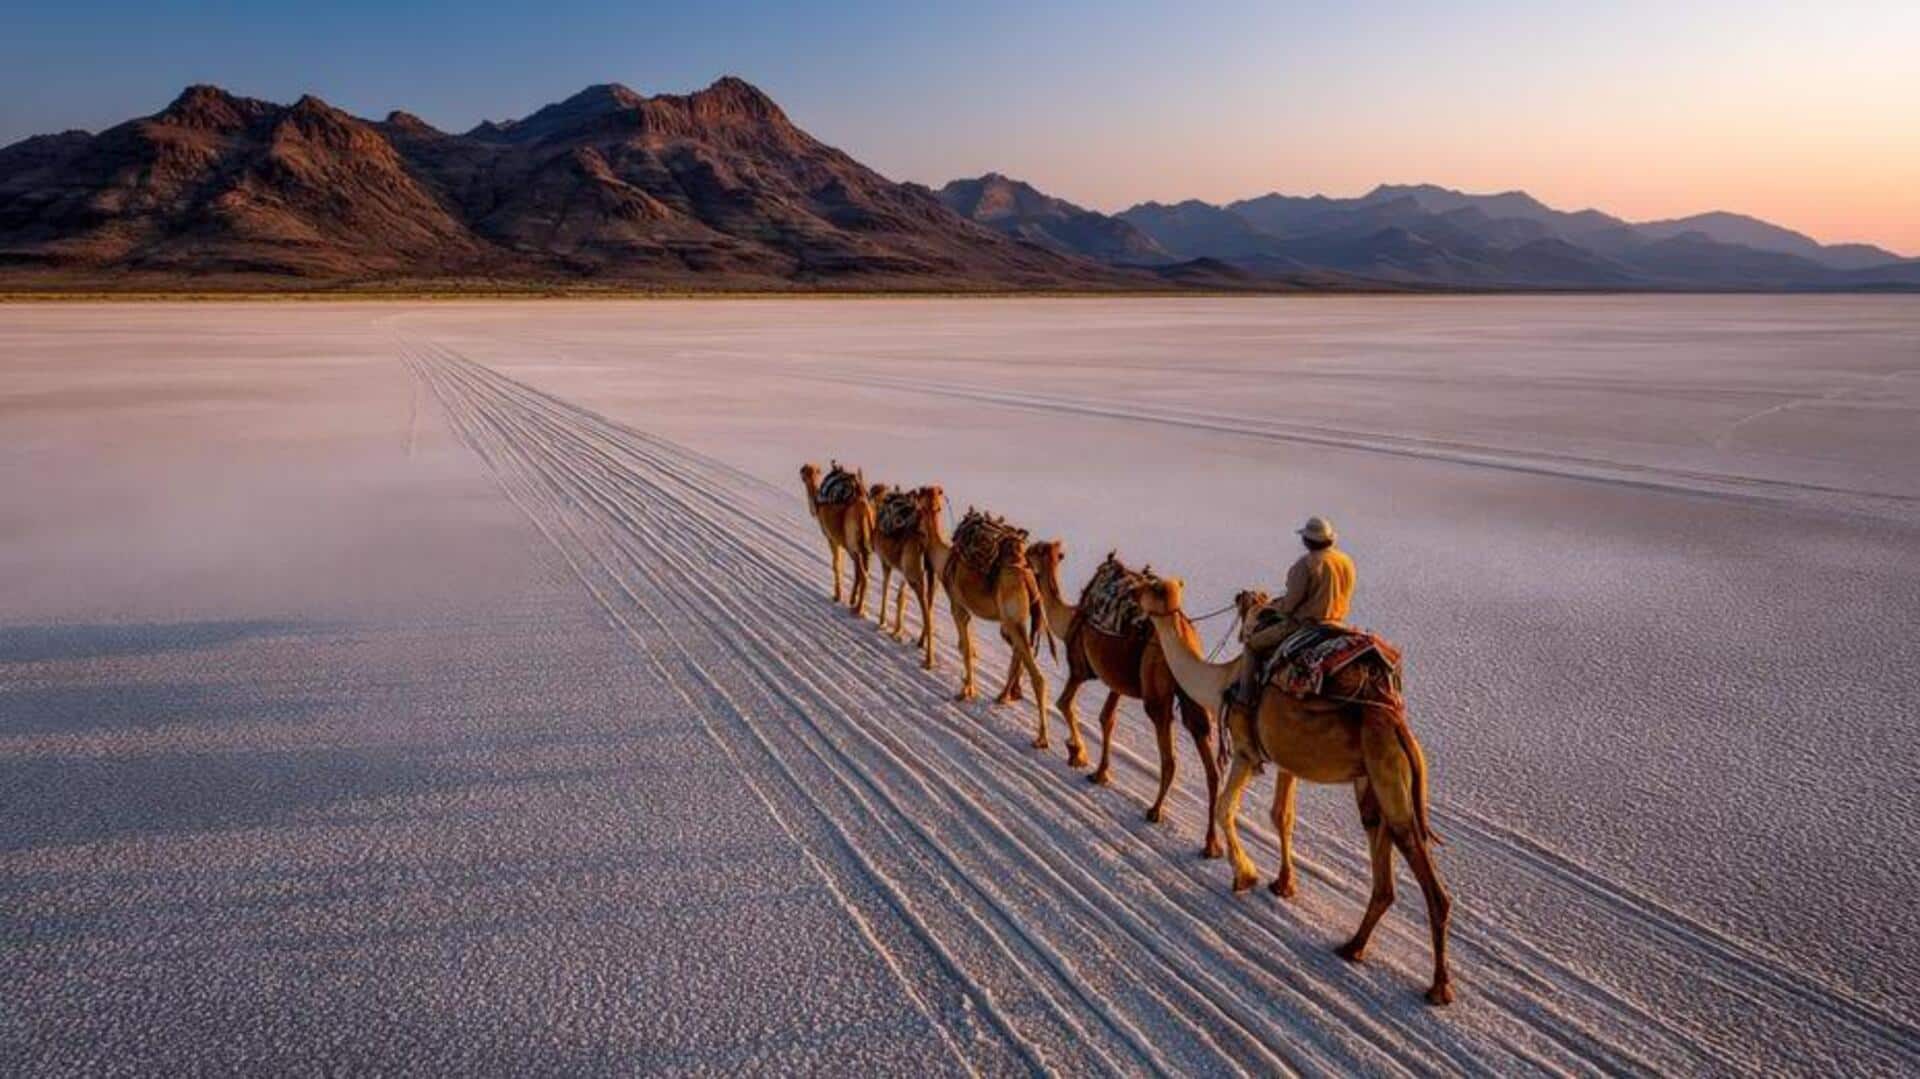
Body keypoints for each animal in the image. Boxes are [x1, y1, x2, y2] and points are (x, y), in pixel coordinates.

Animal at [799, 462, 875, 619]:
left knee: (863, 574)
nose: (801, 474)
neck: (819, 505)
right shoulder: (842, 542)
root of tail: (865, 510)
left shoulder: (832, 539)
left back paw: (858, 610)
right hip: (865, 544)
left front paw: (837, 596)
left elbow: (836, 564)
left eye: (805, 470)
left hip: (853, 543)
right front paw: (846, 598)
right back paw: (857, 605)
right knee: (863, 570)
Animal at [869, 482, 940, 669]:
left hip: (916, 576)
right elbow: (900, 597)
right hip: (930, 578)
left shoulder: (886, 562)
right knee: (929, 606)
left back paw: (929, 660)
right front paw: (896, 631)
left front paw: (882, 622)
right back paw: (921, 643)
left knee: (926, 610)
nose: (868, 496)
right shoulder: (903, 572)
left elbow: (885, 589)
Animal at [919, 501, 1070, 763]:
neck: (944, 557)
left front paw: (966, 690)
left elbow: (965, 647)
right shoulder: (966, 609)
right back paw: (1005, 695)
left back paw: (1041, 738)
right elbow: (966, 645)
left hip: (1012, 618)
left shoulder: (958, 605)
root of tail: (1029, 580)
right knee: (1020, 652)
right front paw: (967, 684)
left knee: (1037, 674)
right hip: (1013, 621)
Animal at [1027, 541, 1222, 859]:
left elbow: (1064, 703)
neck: (1069, 617)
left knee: (1169, 754)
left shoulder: (1079, 668)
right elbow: (1107, 719)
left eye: (1035, 550)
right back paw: (1211, 844)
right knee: (1209, 760)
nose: (1023, 550)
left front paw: (1077, 754)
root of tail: (1186, 636)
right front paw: (1100, 773)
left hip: (1155, 688)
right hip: (1191, 693)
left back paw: (1154, 811)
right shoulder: (1115, 681)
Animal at [1134, 576, 1454, 1006]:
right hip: (1373, 778)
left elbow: (1225, 807)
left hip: (1391, 776)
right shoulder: (1286, 759)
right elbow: (1281, 817)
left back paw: (1438, 987)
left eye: (1153, 588)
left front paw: (1245, 876)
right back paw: (1353, 946)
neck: (1220, 682)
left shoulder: (1246, 751)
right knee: (1380, 850)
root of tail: (1399, 728)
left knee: (1426, 875)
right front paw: (1283, 884)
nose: (1134, 593)